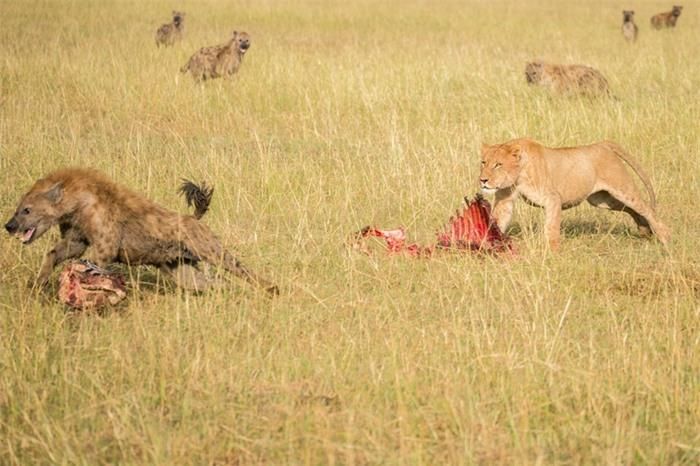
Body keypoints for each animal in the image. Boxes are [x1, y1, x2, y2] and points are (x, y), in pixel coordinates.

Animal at [478, 139, 671, 250]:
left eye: (498, 164)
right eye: (484, 162)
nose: (483, 180)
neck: (519, 173)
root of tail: (603, 144)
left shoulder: (553, 198)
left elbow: (551, 227)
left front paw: (552, 252)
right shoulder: (505, 199)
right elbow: (497, 220)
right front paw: (485, 245)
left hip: (622, 189)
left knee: (645, 208)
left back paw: (664, 235)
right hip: (602, 199)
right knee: (631, 210)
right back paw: (644, 230)